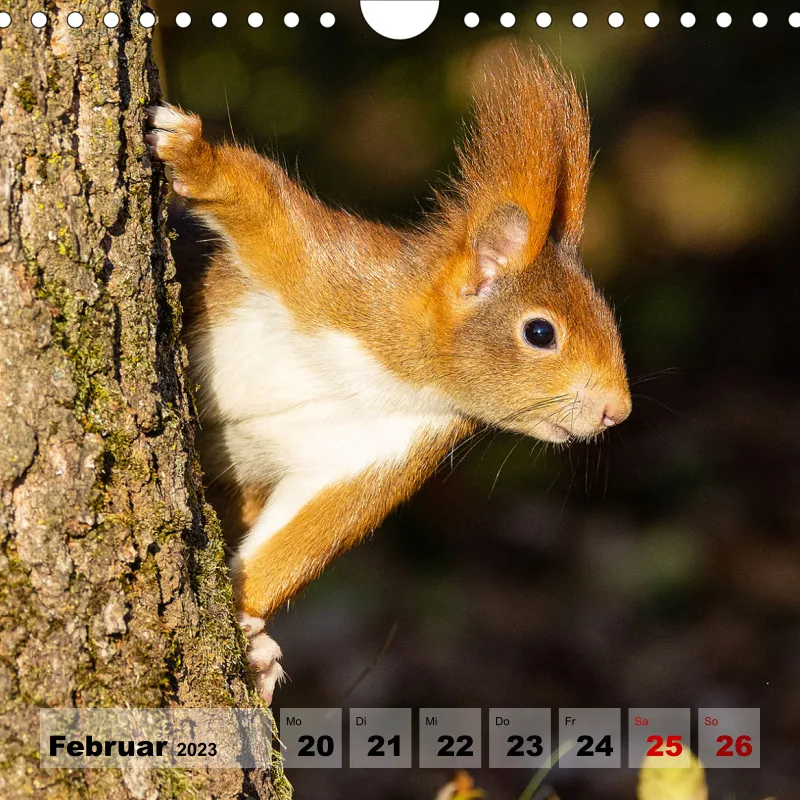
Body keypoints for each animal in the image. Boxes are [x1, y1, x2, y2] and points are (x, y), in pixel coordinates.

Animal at [145, 49, 631, 704]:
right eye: (539, 332)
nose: (618, 411)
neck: (394, 375)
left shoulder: (377, 453)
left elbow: (304, 539)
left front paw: (251, 637)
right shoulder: (327, 271)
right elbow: (260, 198)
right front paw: (191, 152)